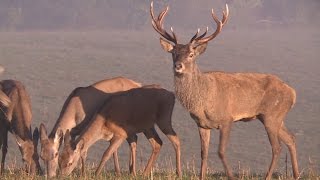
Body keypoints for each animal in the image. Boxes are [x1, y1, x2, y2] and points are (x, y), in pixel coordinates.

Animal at [151, 1, 298, 180]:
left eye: (191, 54)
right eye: (173, 53)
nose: (178, 66)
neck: (203, 101)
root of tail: (293, 93)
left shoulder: (227, 119)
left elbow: (220, 151)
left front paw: (231, 176)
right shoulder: (202, 124)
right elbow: (203, 153)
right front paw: (201, 176)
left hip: (272, 116)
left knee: (277, 147)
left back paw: (268, 176)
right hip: (274, 117)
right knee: (291, 139)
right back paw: (296, 174)